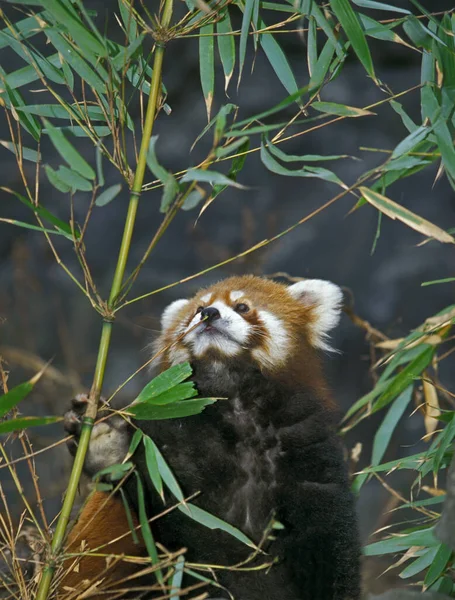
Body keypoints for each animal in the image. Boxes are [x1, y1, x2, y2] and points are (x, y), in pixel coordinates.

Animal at [58, 276, 362, 600]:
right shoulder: (172, 453)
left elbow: (332, 556)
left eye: (242, 307)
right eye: (198, 308)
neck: (239, 409)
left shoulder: (309, 455)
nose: (209, 314)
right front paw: (110, 445)